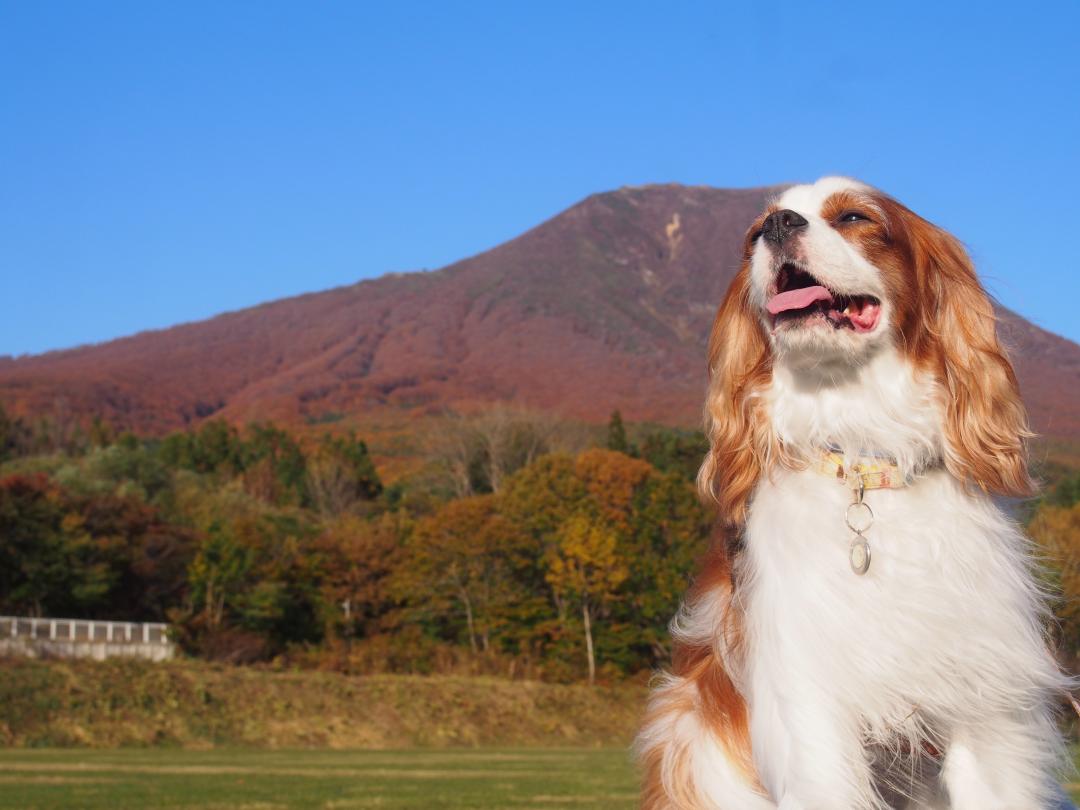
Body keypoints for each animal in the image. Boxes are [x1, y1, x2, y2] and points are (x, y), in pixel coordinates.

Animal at [639, 179, 1071, 810]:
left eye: (853, 218)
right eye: (755, 231)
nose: (778, 226)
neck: (867, 457)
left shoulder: (983, 703)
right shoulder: (808, 705)